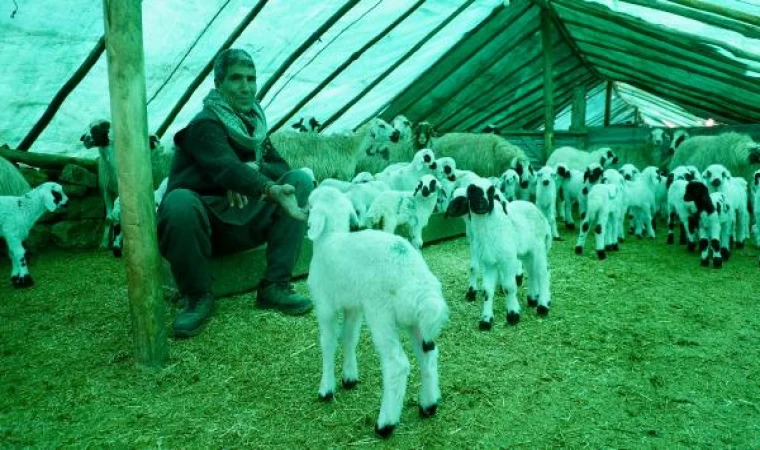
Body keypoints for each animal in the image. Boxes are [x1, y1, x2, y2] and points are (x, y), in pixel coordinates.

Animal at [304, 185, 448, 436]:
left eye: (311, 205)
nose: (304, 211)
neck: (330, 237)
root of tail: (418, 279)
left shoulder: (325, 305)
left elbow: (328, 343)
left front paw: (326, 388)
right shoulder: (354, 307)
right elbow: (349, 338)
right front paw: (349, 377)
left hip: (381, 313)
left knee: (397, 364)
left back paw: (385, 424)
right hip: (416, 320)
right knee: (428, 355)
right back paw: (428, 405)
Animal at [446, 178, 552, 328]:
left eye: (491, 192)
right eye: (472, 192)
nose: (482, 203)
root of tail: (536, 210)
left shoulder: (507, 260)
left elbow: (509, 287)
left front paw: (513, 315)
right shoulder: (489, 262)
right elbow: (487, 289)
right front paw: (486, 320)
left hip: (539, 248)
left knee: (542, 273)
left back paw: (543, 306)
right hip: (527, 252)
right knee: (532, 273)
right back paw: (532, 299)